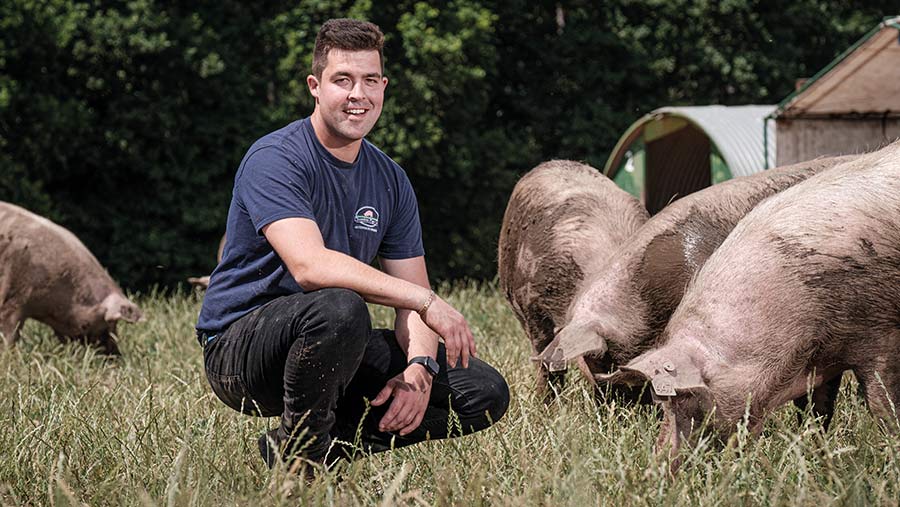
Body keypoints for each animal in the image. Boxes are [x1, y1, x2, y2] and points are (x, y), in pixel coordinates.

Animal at [596, 141, 900, 462]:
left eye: (687, 400)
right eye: (661, 402)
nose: (660, 462)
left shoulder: (877, 331)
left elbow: (882, 403)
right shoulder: (824, 358)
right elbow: (815, 411)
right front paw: (815, 453)